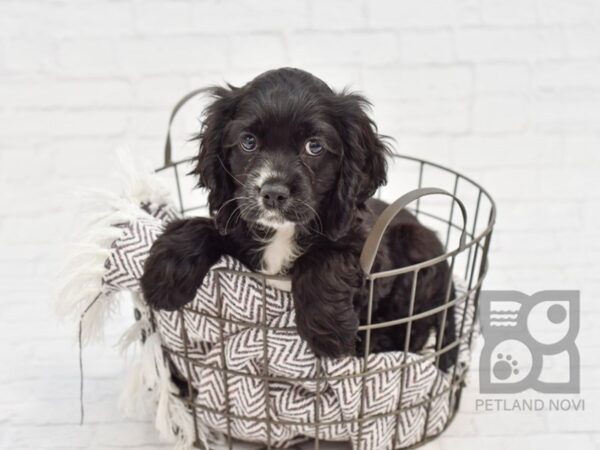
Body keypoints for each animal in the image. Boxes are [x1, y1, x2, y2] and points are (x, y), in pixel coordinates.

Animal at [141, 67, 458, 370]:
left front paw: (329, 333)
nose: (273, 193)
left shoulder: (370, 255)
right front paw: (164, 274)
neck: (283, 233)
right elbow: (208, 226)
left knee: (413, 333)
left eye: (314, 146)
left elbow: (323, 257)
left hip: (415, 244)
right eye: (248, 142)